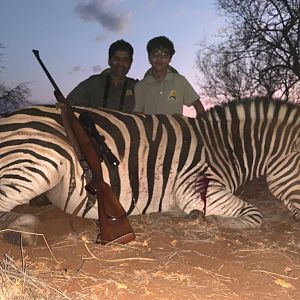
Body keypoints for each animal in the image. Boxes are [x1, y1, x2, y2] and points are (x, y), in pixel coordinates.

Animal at [0, 98, 298, 244]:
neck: (224, 147)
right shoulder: (197, 188)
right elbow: (255, 214)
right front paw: (215, 221)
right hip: (40, 162)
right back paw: (22, 231)